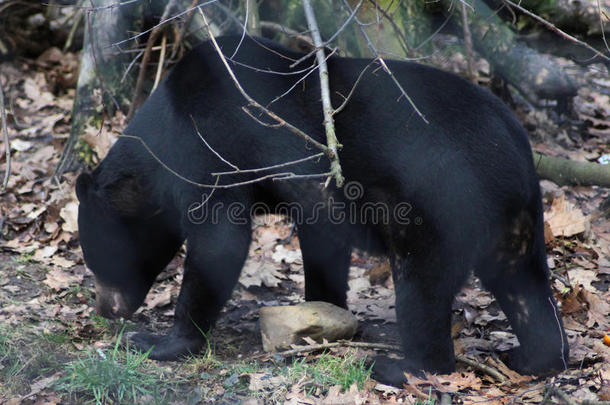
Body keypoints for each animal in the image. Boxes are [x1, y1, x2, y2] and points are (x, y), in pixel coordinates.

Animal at [76, 35, 564, 386]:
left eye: (98, 259)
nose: (106, 310)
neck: (164, 136)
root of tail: (517, 145)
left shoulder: (214, 151)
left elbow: (220, 242)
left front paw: (158, 341)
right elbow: (322, 242)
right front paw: (324, 314)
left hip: (440, 206)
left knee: (422, 289)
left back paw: (398, 367)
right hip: (511, 218)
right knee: (524, 284)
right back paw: (533, 357)